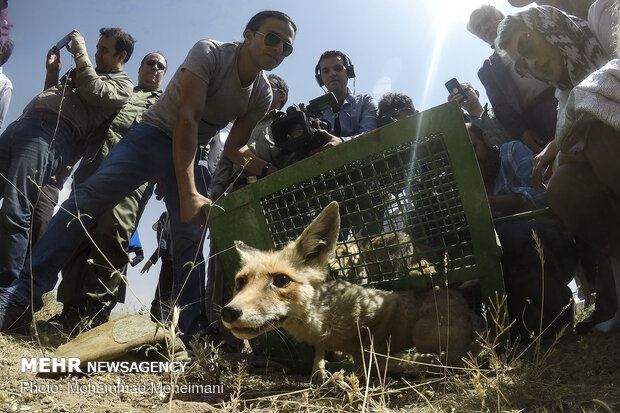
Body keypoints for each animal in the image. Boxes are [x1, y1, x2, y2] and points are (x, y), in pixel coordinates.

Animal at [220, 201, 482, 378]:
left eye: (282, 280)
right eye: (240, 283)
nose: (229, 312)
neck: (321, 322)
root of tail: (460, 296)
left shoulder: (381, 306)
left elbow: (371, 351)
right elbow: (325, 353)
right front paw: (321, 371)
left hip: (424, 332)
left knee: (460, 352)